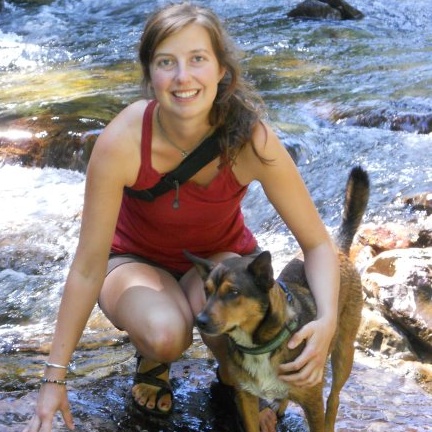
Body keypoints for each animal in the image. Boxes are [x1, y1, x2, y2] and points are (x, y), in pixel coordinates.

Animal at [184, 166, 370, 432]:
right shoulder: (246, 398)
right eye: (206, 290)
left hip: (344, 351)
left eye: (233, 292)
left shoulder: (313, 402)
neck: (260, 346)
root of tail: (337, 248)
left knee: (334, 398)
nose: (200, 321)